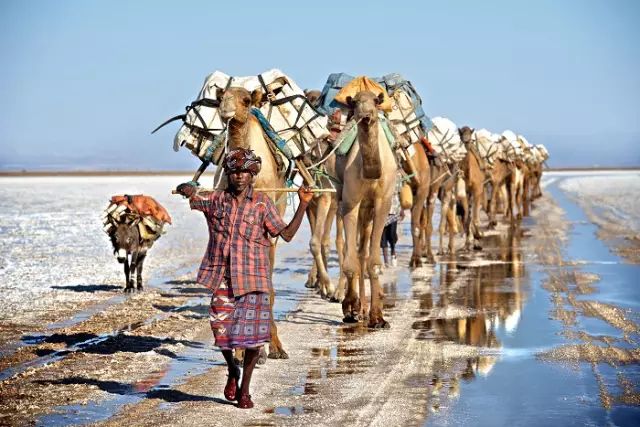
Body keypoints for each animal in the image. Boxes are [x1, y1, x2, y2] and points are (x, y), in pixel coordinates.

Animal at [338, 91, 398, 328]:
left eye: (375, 102)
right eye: (355, 103)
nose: (365, 116)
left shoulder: (383, 202)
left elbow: (373, 261)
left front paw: (378, 317)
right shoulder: (349, 202)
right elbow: (350, 260)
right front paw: (350, 308)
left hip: (369, 212)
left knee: (364, 252)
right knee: (357, 252)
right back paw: (360, 309)